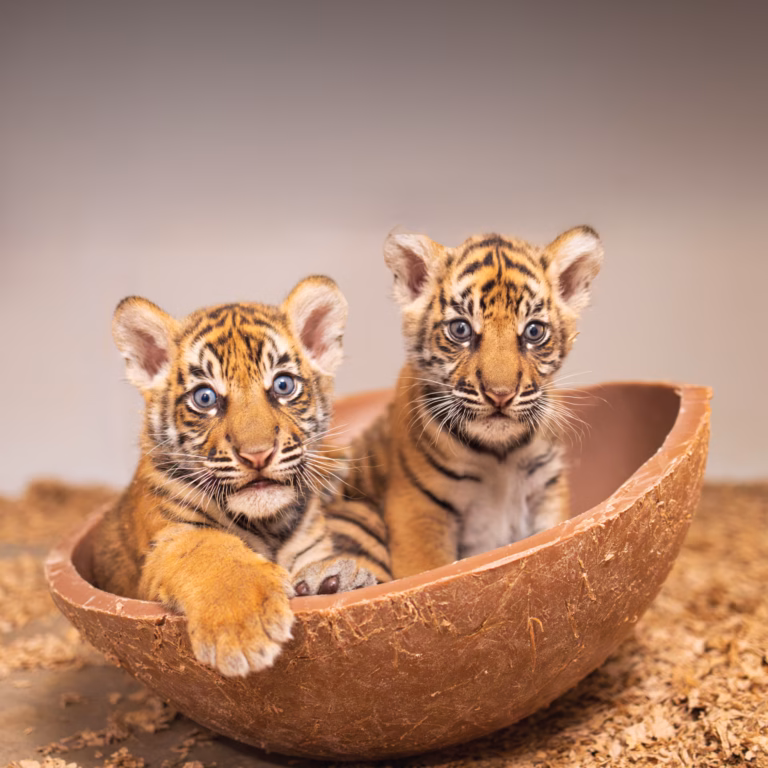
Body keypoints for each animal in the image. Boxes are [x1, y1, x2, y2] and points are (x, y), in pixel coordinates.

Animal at [92, 276, 375, 678]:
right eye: (205, 398)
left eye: (283, 385)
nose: (257, 454)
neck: (269, 525)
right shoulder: (168, 540)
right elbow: (209, 549)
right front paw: (243, 627)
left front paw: (332, 582)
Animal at [327, 227, 604, 580]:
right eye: (461, 329)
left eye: (533, 331)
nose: (500, 394)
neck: (500, 454)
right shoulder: (418, 509)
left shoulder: (547, 491)